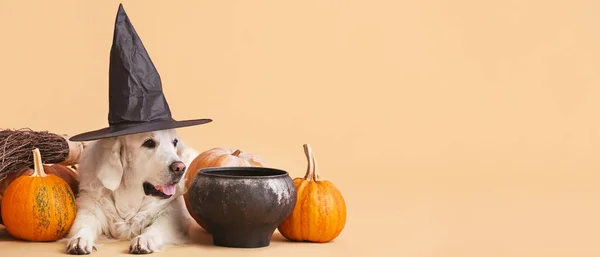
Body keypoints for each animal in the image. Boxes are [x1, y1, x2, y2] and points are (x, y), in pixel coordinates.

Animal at [64, 129, 198, 253]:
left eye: (174, 142)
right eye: (149, 143)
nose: (180, 168)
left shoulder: (170, 213)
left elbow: (155, 229)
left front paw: (144, 239)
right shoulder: (90, 207)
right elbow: (83, 225)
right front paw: (79, 239)